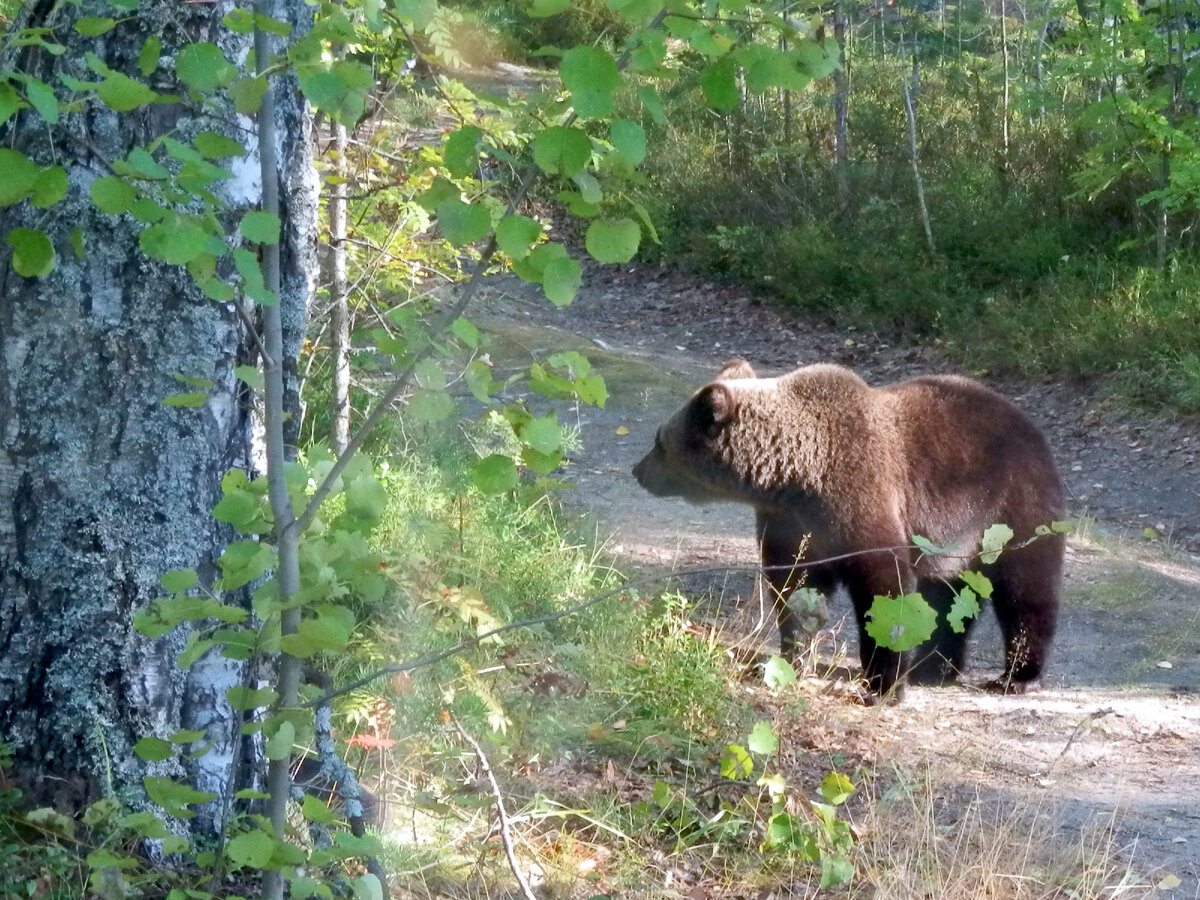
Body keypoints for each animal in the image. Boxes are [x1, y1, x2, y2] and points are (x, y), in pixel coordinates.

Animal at [633, 360, 1065, 696]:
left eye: (658, 440)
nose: (638, 470)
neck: (796, 473)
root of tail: (1028, 421)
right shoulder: (791, 522)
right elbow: (795, 587)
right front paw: (794, 656)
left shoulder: (860, 493)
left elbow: (884, 585)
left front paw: (883, 683)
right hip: (952, 541)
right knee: (948, 596)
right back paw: (934, 669)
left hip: (1009, 507)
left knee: (1025, 589)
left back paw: (1016, 675)